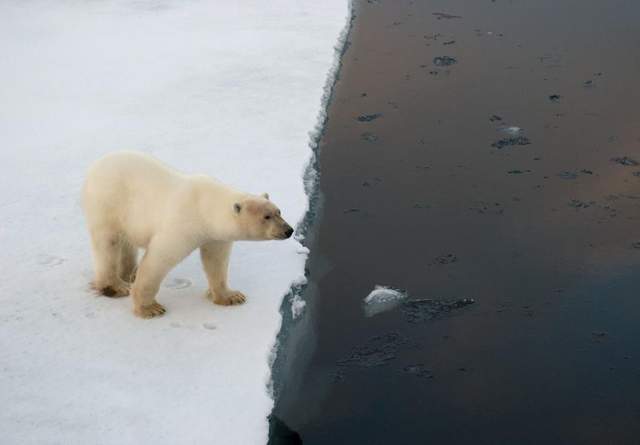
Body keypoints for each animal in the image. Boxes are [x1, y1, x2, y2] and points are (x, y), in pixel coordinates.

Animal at [81, 151, 294, 318]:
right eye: (266, 216)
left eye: (279, 211)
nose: (288, 230)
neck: (205, 206)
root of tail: (95, 166)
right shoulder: (182, 225)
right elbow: (159, 259)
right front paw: (150, 308)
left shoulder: (215, 235)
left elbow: (216, 261)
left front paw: (231, 296)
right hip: (108, 203)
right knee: (108, 243)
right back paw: (117, 286)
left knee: (127, 243)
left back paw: (130, 274)